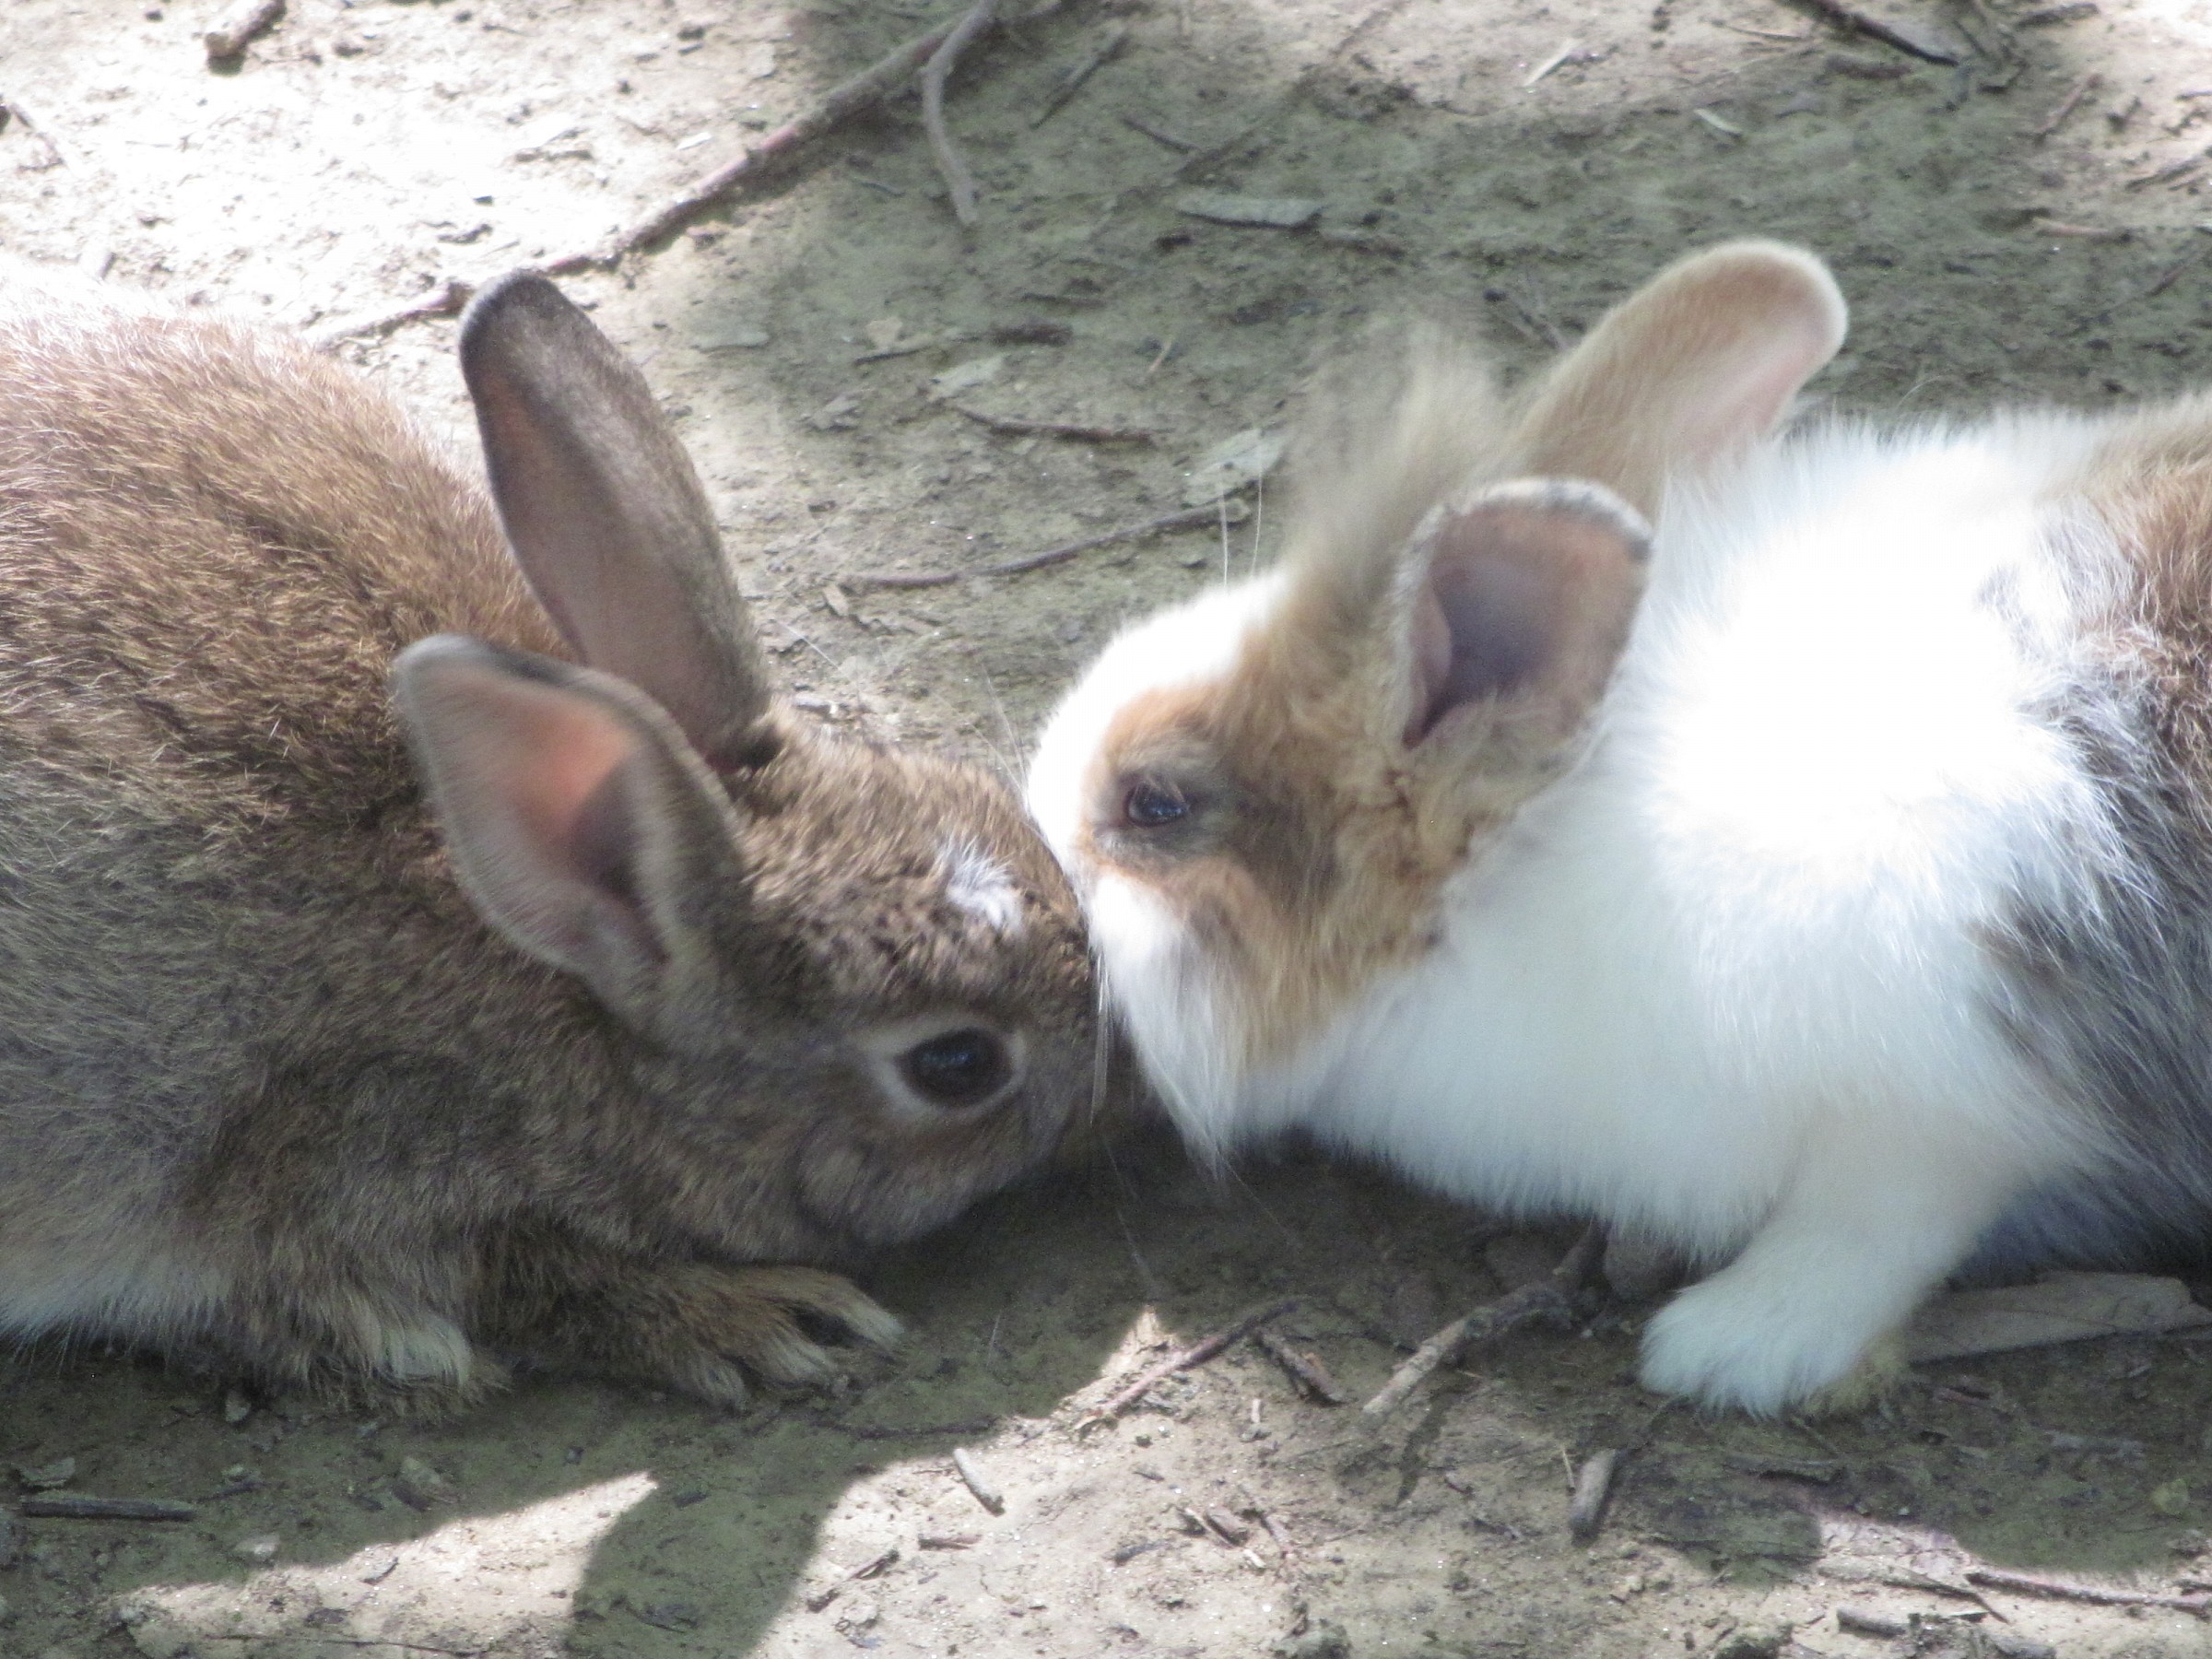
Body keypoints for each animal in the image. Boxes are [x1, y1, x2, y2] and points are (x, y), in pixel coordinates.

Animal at [0, 264, 1099, 1411]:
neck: (577, 1000)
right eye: (956, 1064)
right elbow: (508, 1287)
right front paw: (765, 1318)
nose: (1102, 1085)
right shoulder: (359, 1184)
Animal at [1027, 237, 2212, 1415]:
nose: (1031, 837)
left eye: (1155, 803)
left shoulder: (1944, 1102)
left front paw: (1733, 1346)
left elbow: (1869, 1234)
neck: (1540, 848)